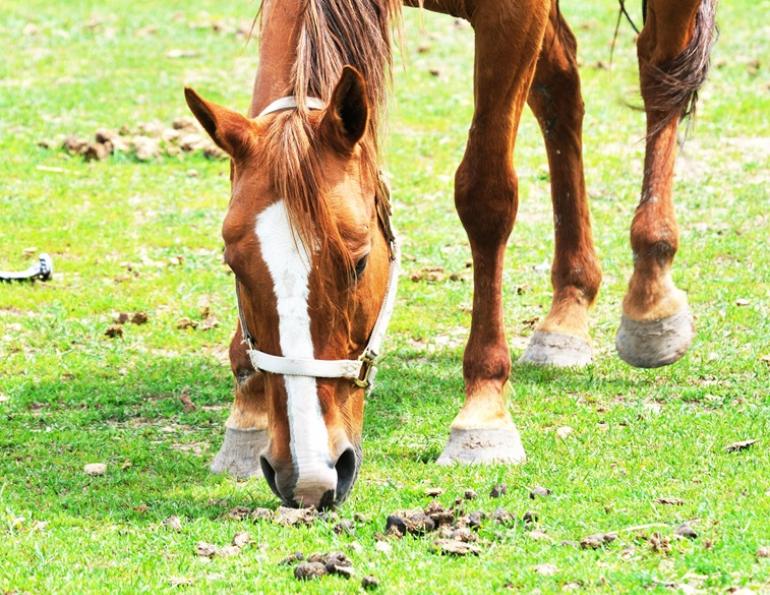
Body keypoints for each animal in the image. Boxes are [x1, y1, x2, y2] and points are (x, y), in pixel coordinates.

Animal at [184, 0, 717, 509]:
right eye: (234, 266)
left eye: (359, 263)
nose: (309, 474)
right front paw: (249, 408)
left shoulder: (513, 15)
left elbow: (485, 194)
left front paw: (483, 412)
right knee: (561, 86)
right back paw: (567, 311)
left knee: (658, 69)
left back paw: (651, 296)